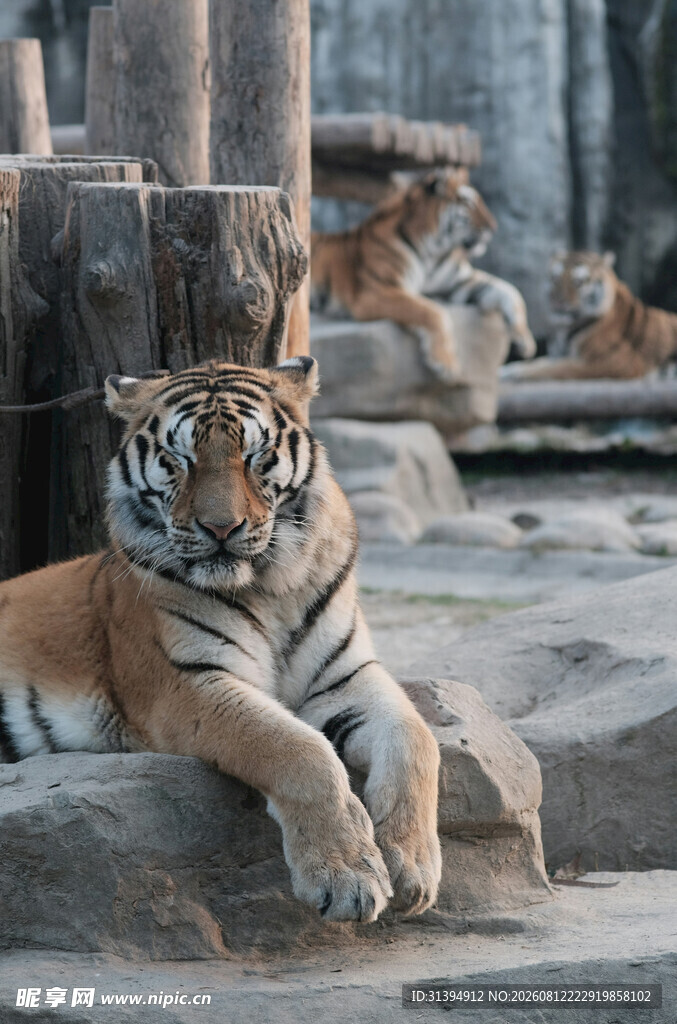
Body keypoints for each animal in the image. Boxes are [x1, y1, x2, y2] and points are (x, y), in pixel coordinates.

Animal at [0, 357, 441, 923]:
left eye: (256, 456)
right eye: (178, 459)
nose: (220, 528)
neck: (272, 585)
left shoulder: (345, 678)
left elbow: (415, 738)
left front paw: (412, 867)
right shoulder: (186, 685)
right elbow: (298, 749)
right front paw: (346, 878)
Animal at [311, 168, 536, 381]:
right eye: (468, 202)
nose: (493, 227)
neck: (433, 251)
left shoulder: (458, 283)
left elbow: (509, 290)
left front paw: (524, 340)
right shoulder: (378, 291)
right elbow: (431, 311)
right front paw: (446, 363)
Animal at [502, 250, 677, 380]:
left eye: (578, 282)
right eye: (555, 278)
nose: (557, 302)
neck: (566, 329)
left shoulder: (617, 362)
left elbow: (558, 368)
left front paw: (511, 373)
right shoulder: (558, 355)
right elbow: (540, 362)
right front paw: (508, 368)